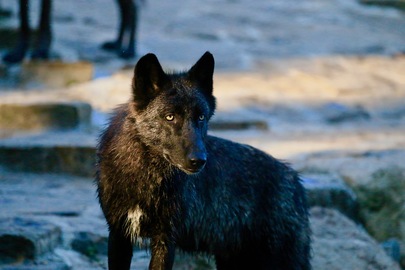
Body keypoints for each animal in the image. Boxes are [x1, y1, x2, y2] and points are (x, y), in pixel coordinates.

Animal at [96, 51, 310, 268]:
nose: (198, 160)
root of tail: (295, 179)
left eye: (201, 117)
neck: (146, 177)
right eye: (170, 117)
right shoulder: (118, 234)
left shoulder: (166, 239)